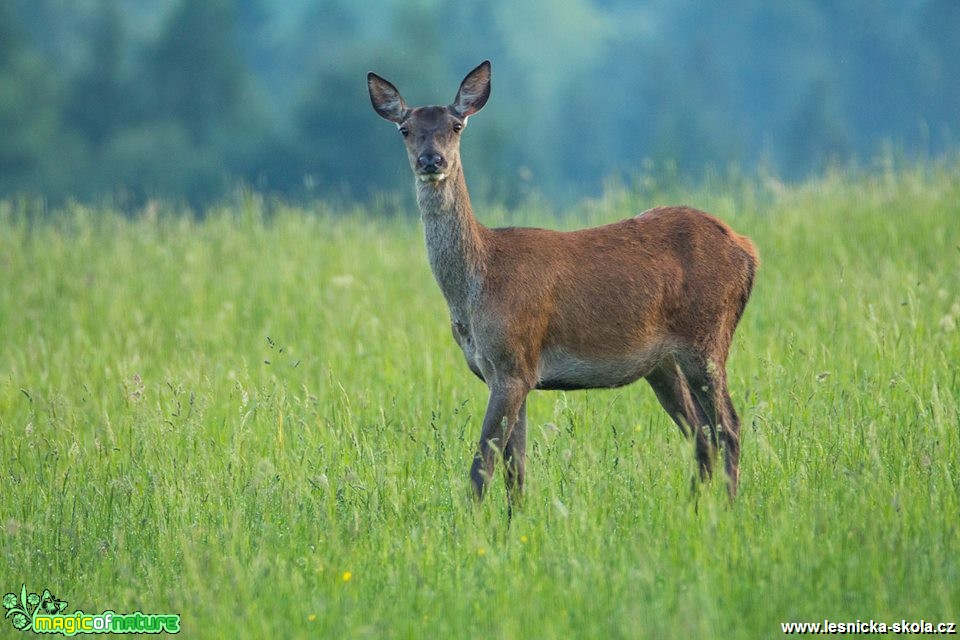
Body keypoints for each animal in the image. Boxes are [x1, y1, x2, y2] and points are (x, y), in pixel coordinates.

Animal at [366, 61, 756, 510]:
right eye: (405, 129)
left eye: (456, 125)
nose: (432, 160)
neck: (475, 287)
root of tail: (748, 251)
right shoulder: (508, 371)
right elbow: (516, 469)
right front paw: (515, 521)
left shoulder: (514, 360)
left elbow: (483, 466)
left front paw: (471, 522)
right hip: (663, 362)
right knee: (701, 433)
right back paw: (694, 507)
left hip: (706, 336)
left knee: (729, 425)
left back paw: (727, 507)